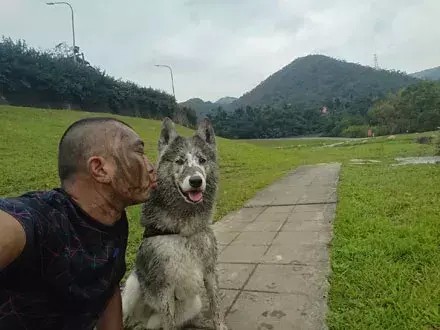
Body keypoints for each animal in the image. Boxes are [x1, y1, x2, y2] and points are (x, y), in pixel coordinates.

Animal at [122, 116, 229, 330]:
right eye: (179, 161)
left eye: (202, 160)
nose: (196, 181)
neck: (183, 231)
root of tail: (144, 321)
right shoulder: (164, 287)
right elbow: (169, 321)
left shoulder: (210, 272)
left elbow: (216, 306)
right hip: (132, 286)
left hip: (193, 304)